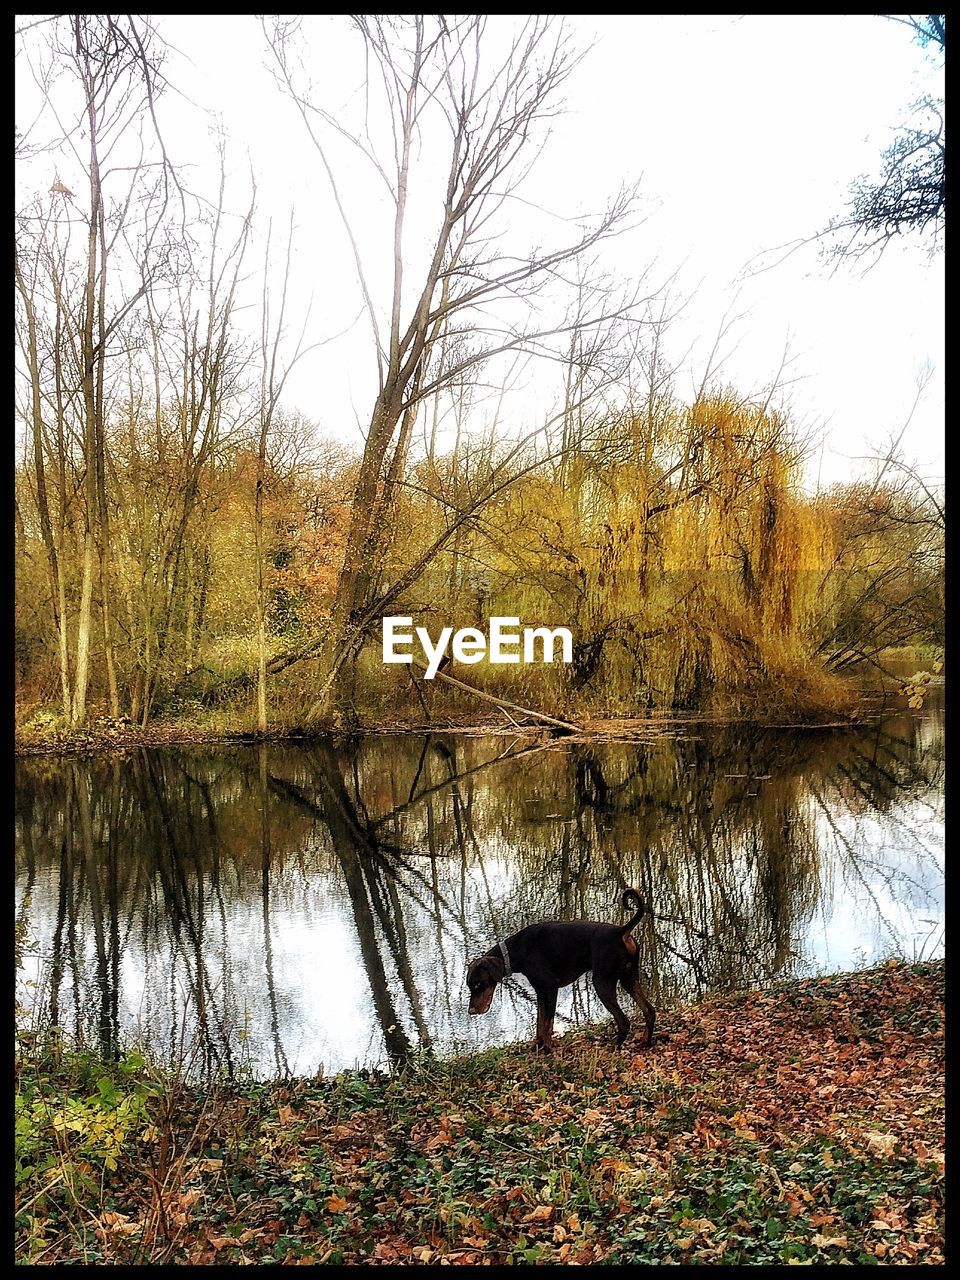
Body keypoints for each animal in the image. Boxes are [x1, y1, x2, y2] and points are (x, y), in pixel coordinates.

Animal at [471, 890, 660, 1049]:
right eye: (469, 986)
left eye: (478, 985)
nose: (471, 1011)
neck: (519, 949)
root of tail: (621, 931)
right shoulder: (540, 991)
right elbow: (540, 1020)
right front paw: (537, 1045)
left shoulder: (550, 987)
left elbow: (547, 1022)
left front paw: (547, 1049)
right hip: (628, 978)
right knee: (649, 1011)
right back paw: (645, 1042)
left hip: (603, 983)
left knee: (624, 1021)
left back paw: (614, 1047)